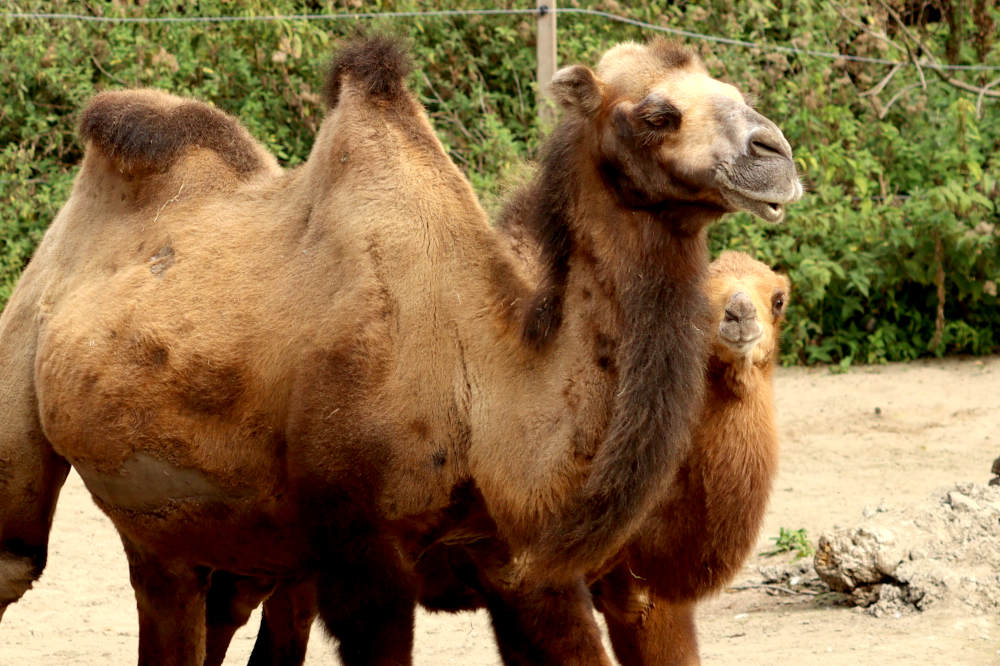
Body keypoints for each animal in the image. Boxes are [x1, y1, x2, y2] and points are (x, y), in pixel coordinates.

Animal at [0, 37, 800, 664]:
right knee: (18, 560)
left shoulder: (516, 567)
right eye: (656, 114)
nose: (777, 156)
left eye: (738, 94)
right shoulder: (363, 558)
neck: (485, 388)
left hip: (196, 531)